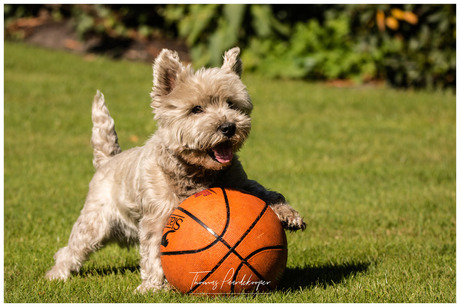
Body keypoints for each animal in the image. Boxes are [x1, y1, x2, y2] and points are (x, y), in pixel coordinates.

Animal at [45, 47, 306, 292]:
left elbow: (266, 192)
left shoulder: (240, 182)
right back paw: (57, 274)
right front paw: (152, 287)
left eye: (232, 104)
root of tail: (107, 160)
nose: (228, 127)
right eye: (196, 109)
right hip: (95, 222)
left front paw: (289, 215)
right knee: (71, 249)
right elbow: (154, 251)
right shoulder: (158, 215)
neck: (197, 172)